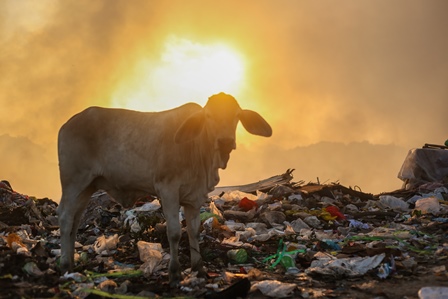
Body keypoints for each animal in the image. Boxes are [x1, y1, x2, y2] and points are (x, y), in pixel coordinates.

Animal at [57, 92, 272, 288]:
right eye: (208, 116)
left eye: (236, 115)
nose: (225, 141)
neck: (198, 150)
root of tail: (68, 124)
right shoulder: (168, 190)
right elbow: (175, 232)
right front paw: (174, 274)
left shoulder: (195, 197)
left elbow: (194, 231)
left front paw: (199, 269)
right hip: (74, 182)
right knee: (65, 218)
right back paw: (65, 265)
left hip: (88, 187)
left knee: (75, 221)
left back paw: (72, 265)